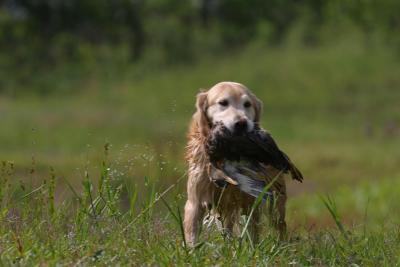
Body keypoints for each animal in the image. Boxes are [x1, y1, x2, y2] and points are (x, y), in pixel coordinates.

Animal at [184, 81, 288, 247]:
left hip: (276, 204)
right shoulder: (195, 201)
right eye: (223, 102)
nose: (242, 123)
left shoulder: (250, 202)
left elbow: (252, 234)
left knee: (279, 227)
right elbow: (192, 237)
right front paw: (192, 251)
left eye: (247, 104)